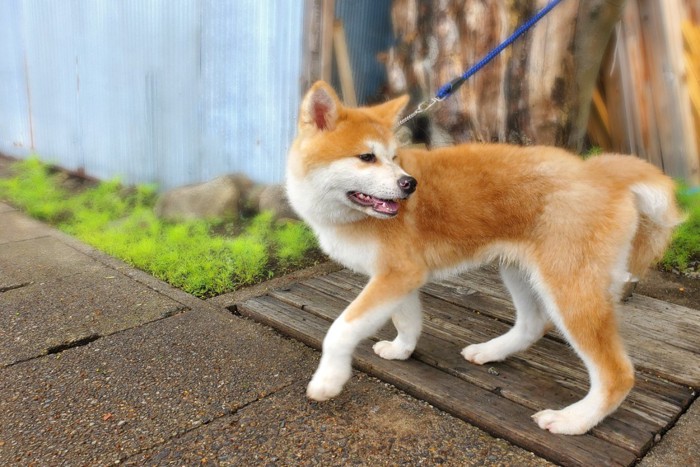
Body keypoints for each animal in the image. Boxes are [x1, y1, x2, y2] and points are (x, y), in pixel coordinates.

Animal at [284, 80, 680, 436]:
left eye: (394, 158)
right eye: (367, 157)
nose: (409, 184)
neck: (346, 216)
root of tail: (600, 171)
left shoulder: (396, 274)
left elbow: (341, 330)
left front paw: (328, 380)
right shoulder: (401, 276)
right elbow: (407, 320)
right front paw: (401, 350)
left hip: (570, 291)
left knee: (617, 375)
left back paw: (573, 421)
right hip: (519, 270)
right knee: (533, 324)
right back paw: (492, 352)